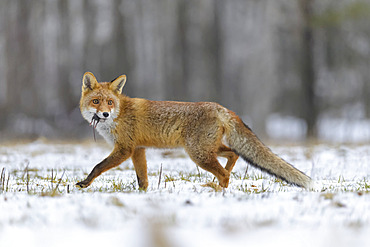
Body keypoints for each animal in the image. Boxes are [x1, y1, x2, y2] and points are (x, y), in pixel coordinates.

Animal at [77, 72, 312, 190]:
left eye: (109, 102)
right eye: (96, 101)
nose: (104, 114)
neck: (120, 114)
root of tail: (220, 107)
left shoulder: (125, 148)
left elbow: (98, 166)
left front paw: (85, 183)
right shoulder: (138, 149)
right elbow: (142, 178)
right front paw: (143, 194)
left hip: (198, 153)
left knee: (224, 172)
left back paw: (218, 190)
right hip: (208, 149)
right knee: (233, 156)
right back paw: (219, 182)